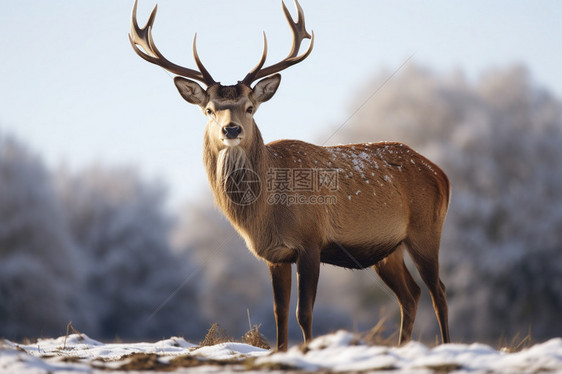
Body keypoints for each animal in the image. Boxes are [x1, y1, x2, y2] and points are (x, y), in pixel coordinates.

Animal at [129, 0, 448, 350]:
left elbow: (302, 313)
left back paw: (446, 343)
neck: (267, 213)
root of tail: (440, 174)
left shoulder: (311, 242)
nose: (231, 129)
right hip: (388, 249)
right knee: (410, 295)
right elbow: (279, 313)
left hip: (426, 229)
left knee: (438, 291)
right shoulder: (275, 255)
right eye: (209, 110)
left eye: (250, 107)